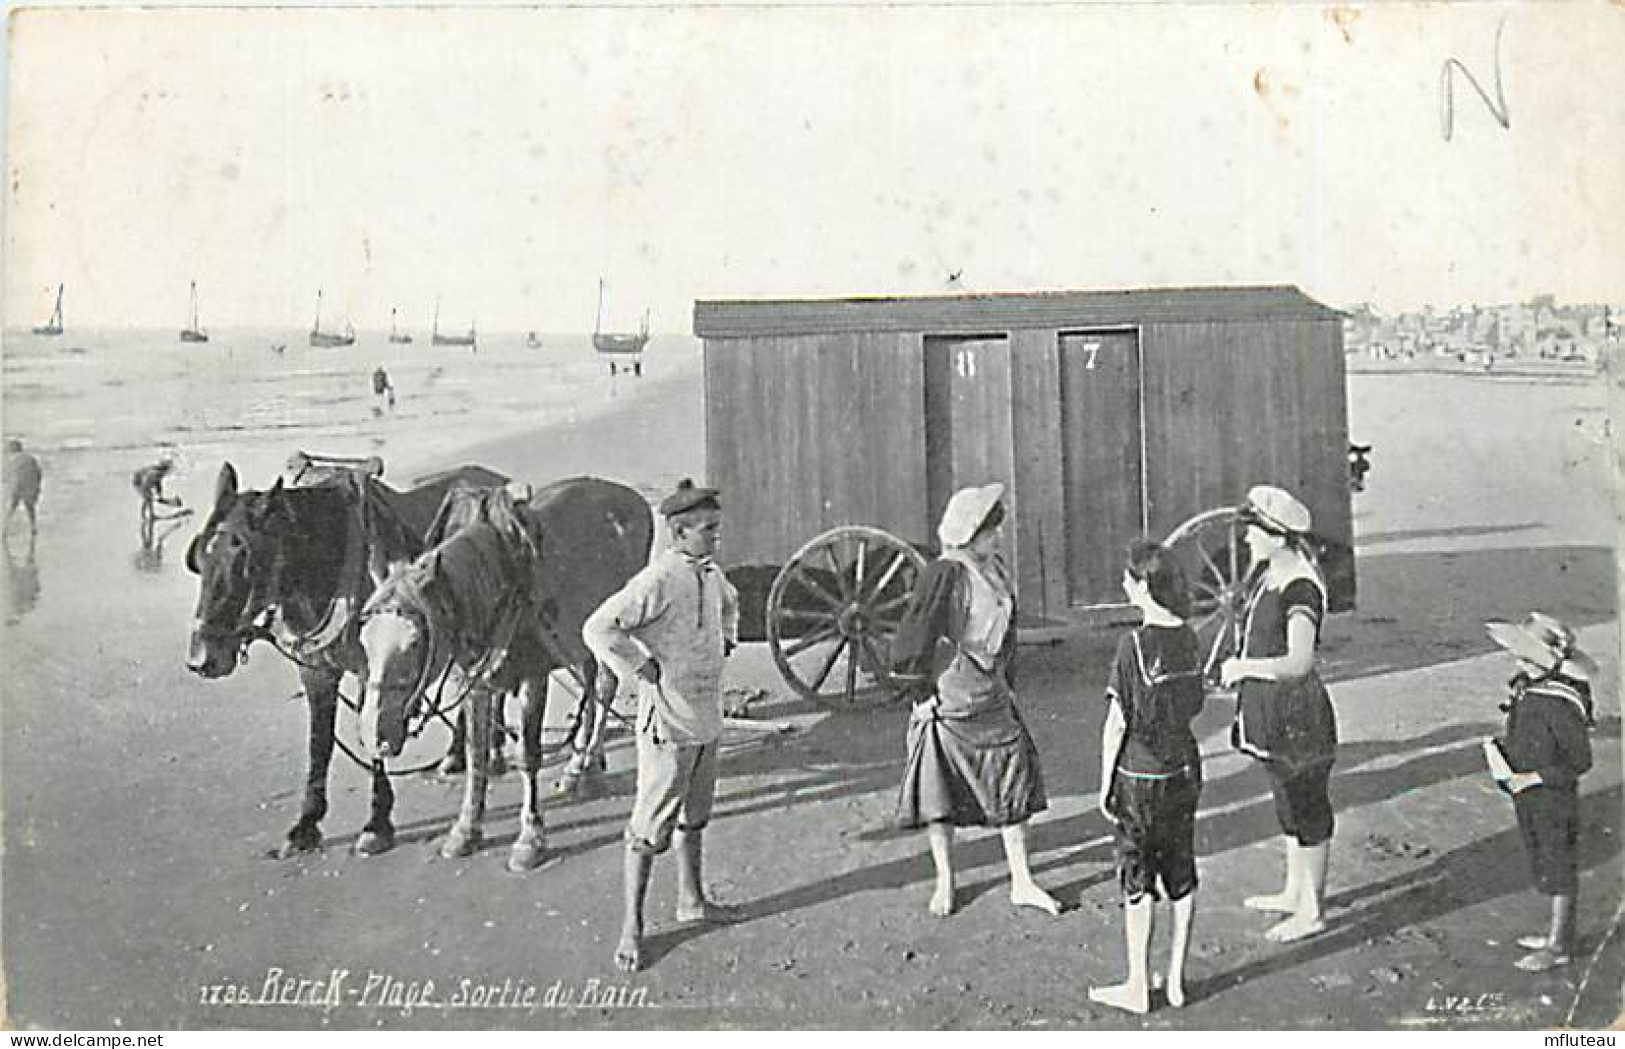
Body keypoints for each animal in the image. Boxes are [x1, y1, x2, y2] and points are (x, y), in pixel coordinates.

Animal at [185, 454, 500, 857]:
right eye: (199, 559)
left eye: (246, 564)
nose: (202, 659)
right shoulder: (316, 672)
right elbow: (319, 744)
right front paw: (307, 824)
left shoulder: (375, 668)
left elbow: (373, 734)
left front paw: (376, 822)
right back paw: (459, 754)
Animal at [362, 477, 653, 870]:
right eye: (364, 640)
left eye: (414, 642)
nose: (375, 734)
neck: (500, 580)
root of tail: (635, 499)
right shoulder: (476, 681)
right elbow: (476, 754)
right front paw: (466, 829)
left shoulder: (535, 675)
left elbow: (528, 755)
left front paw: (531, 837)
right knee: (590, 681)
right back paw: (577, 766)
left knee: (605, 686)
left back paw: (590, 762)